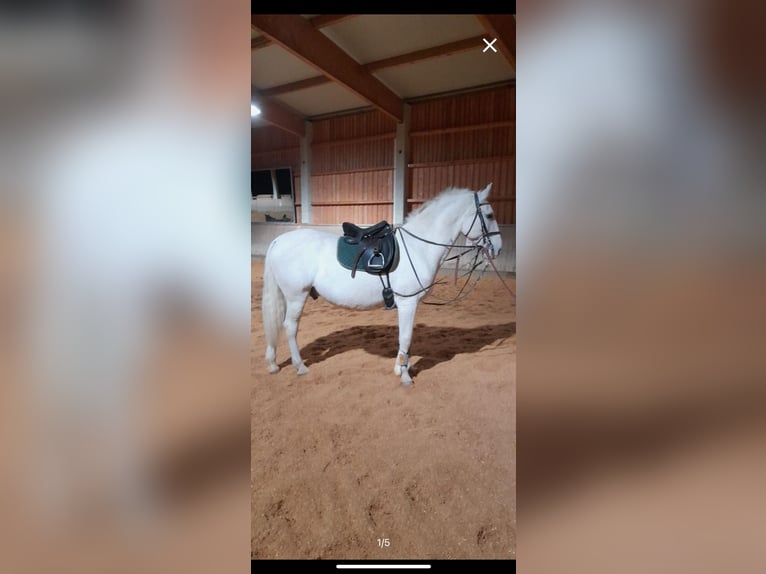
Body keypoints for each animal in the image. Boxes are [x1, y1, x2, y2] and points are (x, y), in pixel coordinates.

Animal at [264, 184, 504, 388]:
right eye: (489, 215)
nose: (498, 248)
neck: (418, 248)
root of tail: (278, 241)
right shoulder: (408, 303)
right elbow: (405, 337)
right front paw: (405, 376)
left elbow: (406, 339)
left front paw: (402, 367)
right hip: (296, 296)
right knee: (290, 327)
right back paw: (300, 366)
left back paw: (273, 364)